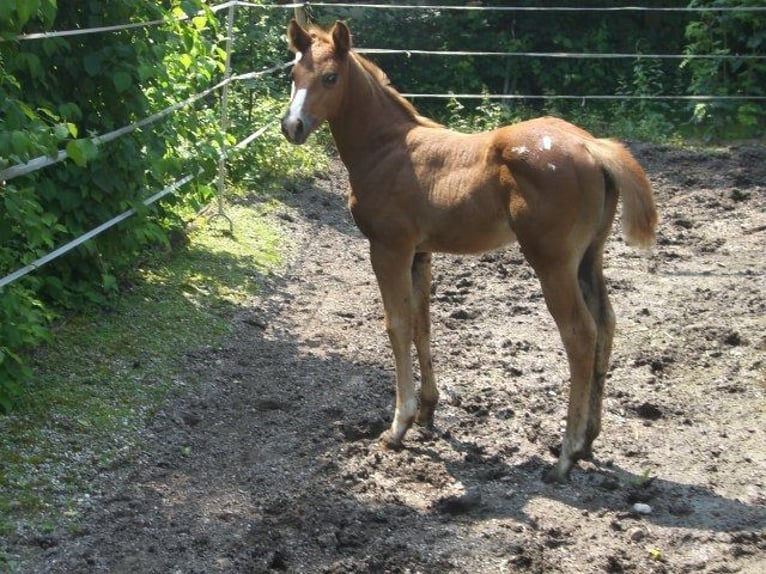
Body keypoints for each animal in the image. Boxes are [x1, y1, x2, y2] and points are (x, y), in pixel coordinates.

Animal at [282, 19, 660, 486]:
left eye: (331, 77)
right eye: (293, 75)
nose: (292, 126)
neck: (386, 148)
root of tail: (591, 146)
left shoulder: (388, 248)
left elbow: (397, 325)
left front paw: (398, 425)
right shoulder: (420, 253)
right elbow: (422, 325)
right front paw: (427, 410)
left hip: (553, 261)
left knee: (580, 334)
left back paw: (566, 455)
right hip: (590, 257)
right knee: (606, 324)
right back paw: (589, 439)